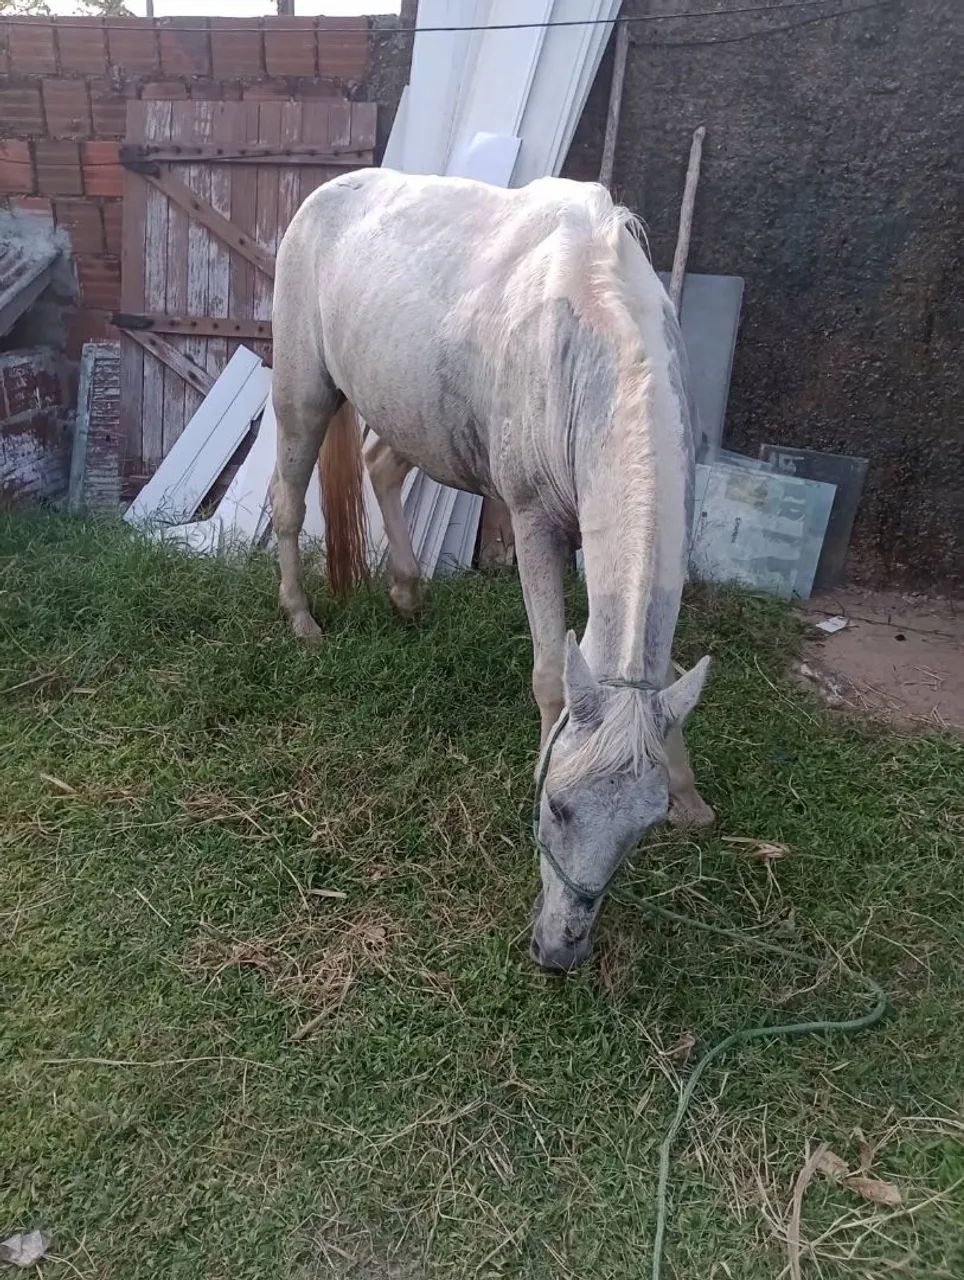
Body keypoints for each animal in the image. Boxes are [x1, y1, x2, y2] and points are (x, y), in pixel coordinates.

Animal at [270, 168, 714, 972]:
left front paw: (692, 796)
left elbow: (659, 675)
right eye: (556, 806)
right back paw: (301, 618)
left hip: (409, 412)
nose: (560, 952)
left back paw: (407, 594)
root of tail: (327, 192)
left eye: (642, 828)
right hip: (304, 395)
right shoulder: (535, 523)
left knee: (381, 466)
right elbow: (551, 674)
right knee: (287, 500)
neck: (592, 331)